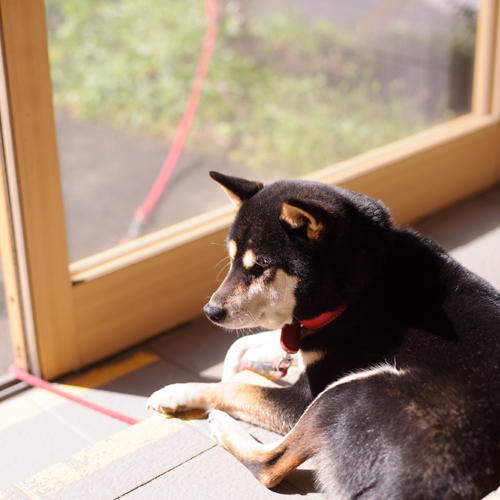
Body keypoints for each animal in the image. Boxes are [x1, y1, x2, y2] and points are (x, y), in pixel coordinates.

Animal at [147, 173, 500, 500]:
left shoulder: (302, 399)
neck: (366, 288)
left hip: (348, 391)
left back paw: (224, 428)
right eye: (232, 258)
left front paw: (177, 391)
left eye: (260, 266)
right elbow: (240, 347)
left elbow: (237, 389)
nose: (211, 311)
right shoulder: (303, 337)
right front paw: (238, 369)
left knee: (270, 466)